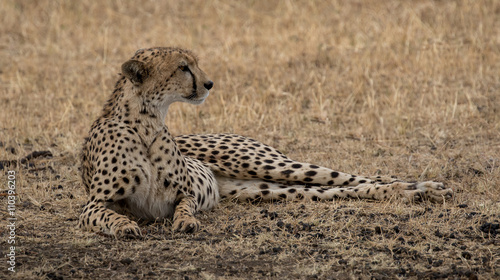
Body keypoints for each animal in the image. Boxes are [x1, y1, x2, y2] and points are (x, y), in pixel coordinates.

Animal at [78, 47, 454, 237]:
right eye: (183, 67)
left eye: (194, 64)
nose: (209, 83)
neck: (147, 123)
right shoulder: (93, 204)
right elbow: (108, 216)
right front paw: (125, 226)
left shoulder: (185, 192)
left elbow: (184, 205)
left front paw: (185, 221)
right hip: (264, 188)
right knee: (343, 190)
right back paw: (417, 194)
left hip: (268, 164)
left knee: (354, 178)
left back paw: (428, 188)